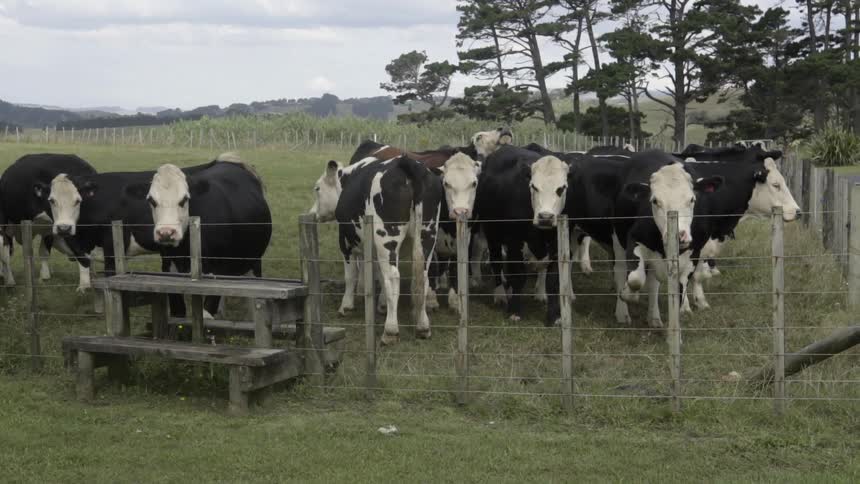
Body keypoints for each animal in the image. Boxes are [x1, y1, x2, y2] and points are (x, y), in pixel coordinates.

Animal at [0, 153, 98, 290]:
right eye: (51, 200)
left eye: (78, 200)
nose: (64, 228)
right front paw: (84, 286)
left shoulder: (51, 229)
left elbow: (44, 252)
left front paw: (45, 276)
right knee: (6, 254)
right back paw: (9, 279)